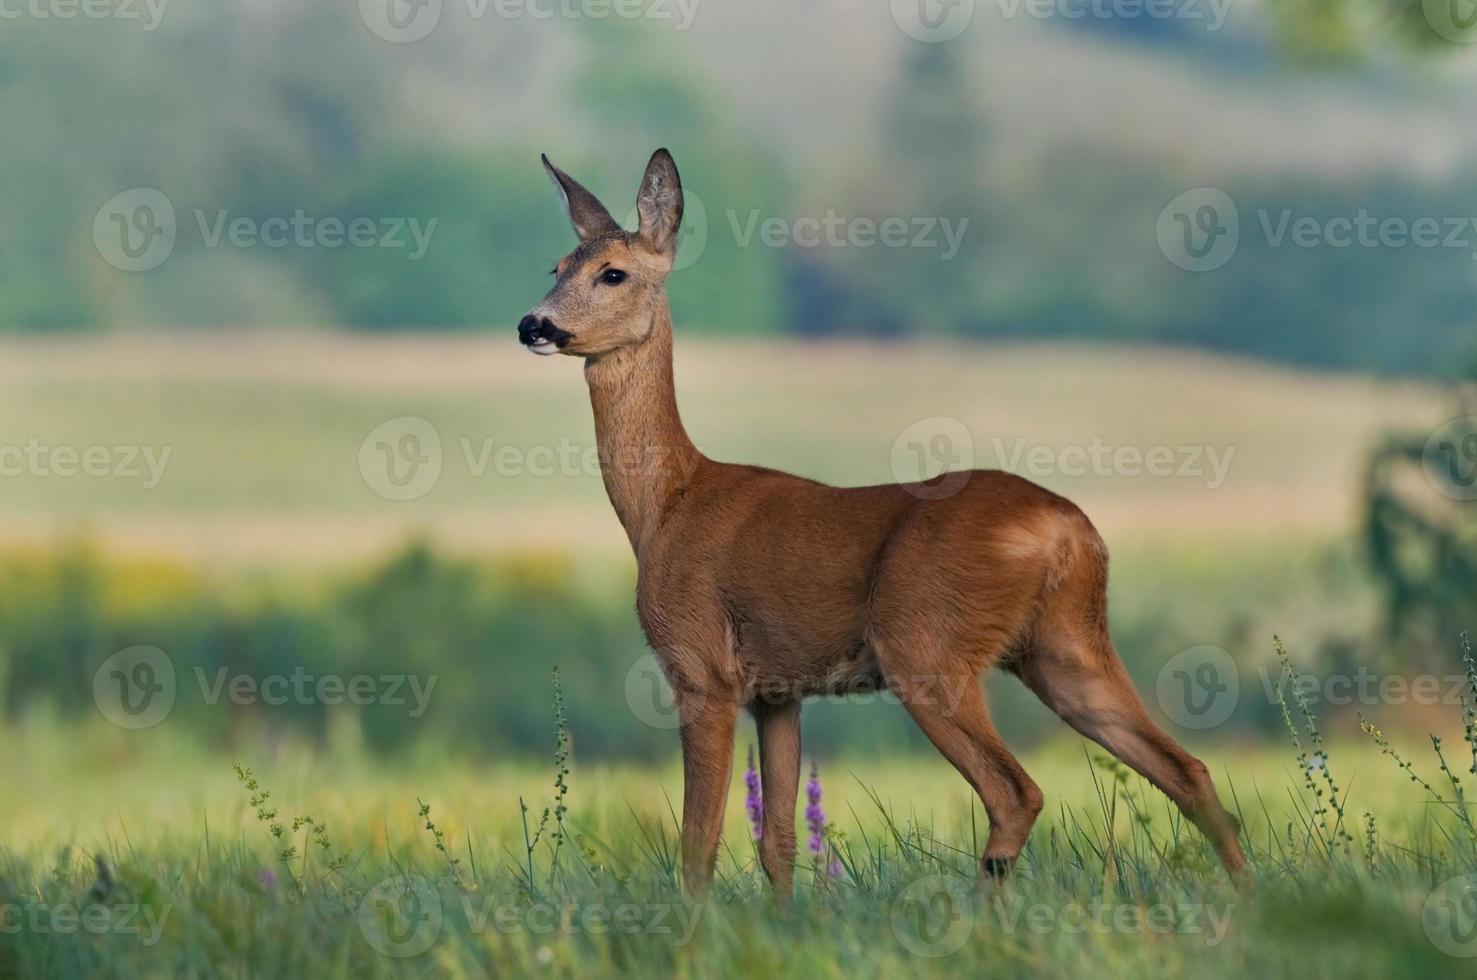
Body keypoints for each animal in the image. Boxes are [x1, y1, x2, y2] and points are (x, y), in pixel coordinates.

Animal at [519, 149, 1246, 897]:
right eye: (556, 266)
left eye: (613, 272)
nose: (532, 325)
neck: (667, 505)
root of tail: (1070, 531)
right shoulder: (778, 693)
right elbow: (778, 840)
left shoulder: (701, 670)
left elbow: (699, 843)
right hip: (1065, 645)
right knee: (1189, 770)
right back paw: (1248, 897)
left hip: (926, 644)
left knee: (1017, 791)